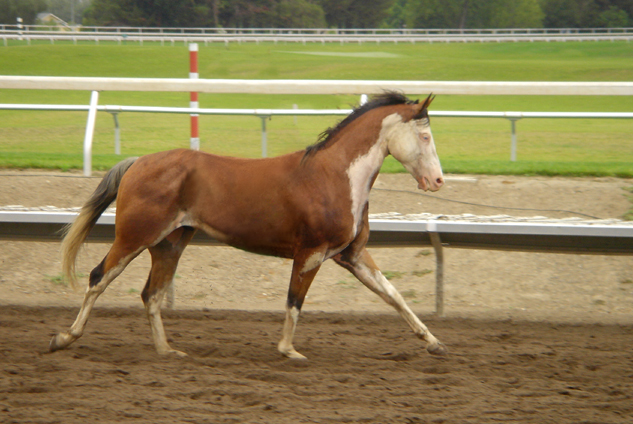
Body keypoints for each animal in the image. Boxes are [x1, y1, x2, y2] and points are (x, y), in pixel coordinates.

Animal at [50, 91, 444, 360]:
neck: (336, 177)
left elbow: (393, 295)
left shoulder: (353, 255)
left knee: (152, 294)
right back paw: (64, 338)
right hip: (134, 237)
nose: (438, 181)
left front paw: (434, 341)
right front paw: (288, 350)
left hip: (170, 244)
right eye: (425, 137)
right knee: (99, 277)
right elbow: (294, 301)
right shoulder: (311, 254)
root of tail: (138, 162)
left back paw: (167, 351)